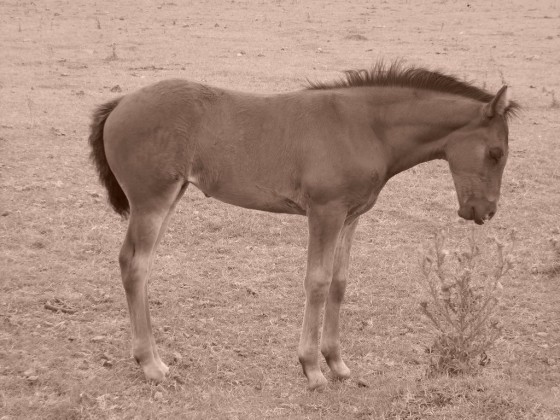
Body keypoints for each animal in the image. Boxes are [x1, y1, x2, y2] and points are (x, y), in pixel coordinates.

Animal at [88, 60, 520, 388]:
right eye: (496, 153)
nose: (485, 211)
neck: (365, 127)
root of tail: (121, 102)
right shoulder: (325, 213)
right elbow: (317, 282)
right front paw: (312, 368)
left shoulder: (350, 217)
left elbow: (339, 283)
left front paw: (337, 363)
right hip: (151, 201)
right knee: (135, 265)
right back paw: (151, 364)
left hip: (170, 196)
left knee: (138, 264)